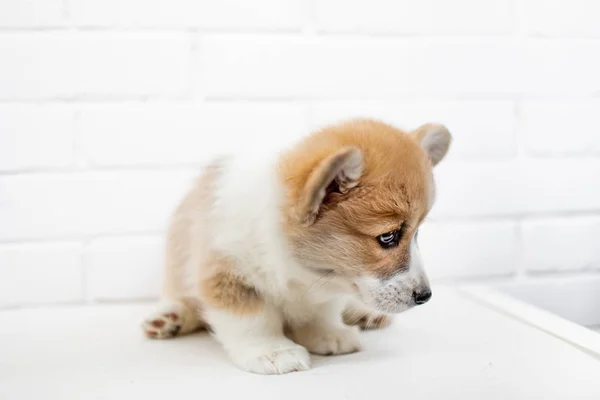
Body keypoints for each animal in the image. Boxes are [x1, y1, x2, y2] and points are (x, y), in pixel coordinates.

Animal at [142, 119, 450, 376]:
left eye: (416, 233)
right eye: (388, 237)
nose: (425, 296)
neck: (298, 268)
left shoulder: (328, 288)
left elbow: (320, 313)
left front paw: (328, 334)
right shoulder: (226, 273)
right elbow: (253, 320)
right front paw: (274, 352)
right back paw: (169, 318)